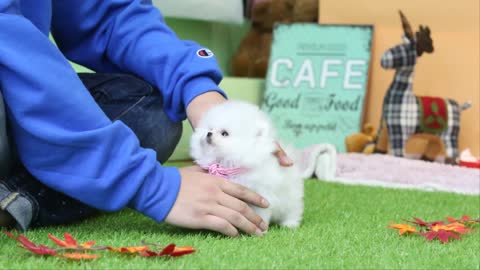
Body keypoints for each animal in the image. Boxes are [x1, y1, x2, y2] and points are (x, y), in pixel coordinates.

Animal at [189, 100, 302, 229]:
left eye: (224, 133)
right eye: (210, 129)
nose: (208, 133)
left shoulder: (262, 195)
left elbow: (260, 213)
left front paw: (262, 228)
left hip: (291, 196)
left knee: (293, 210)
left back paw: (290, 223)